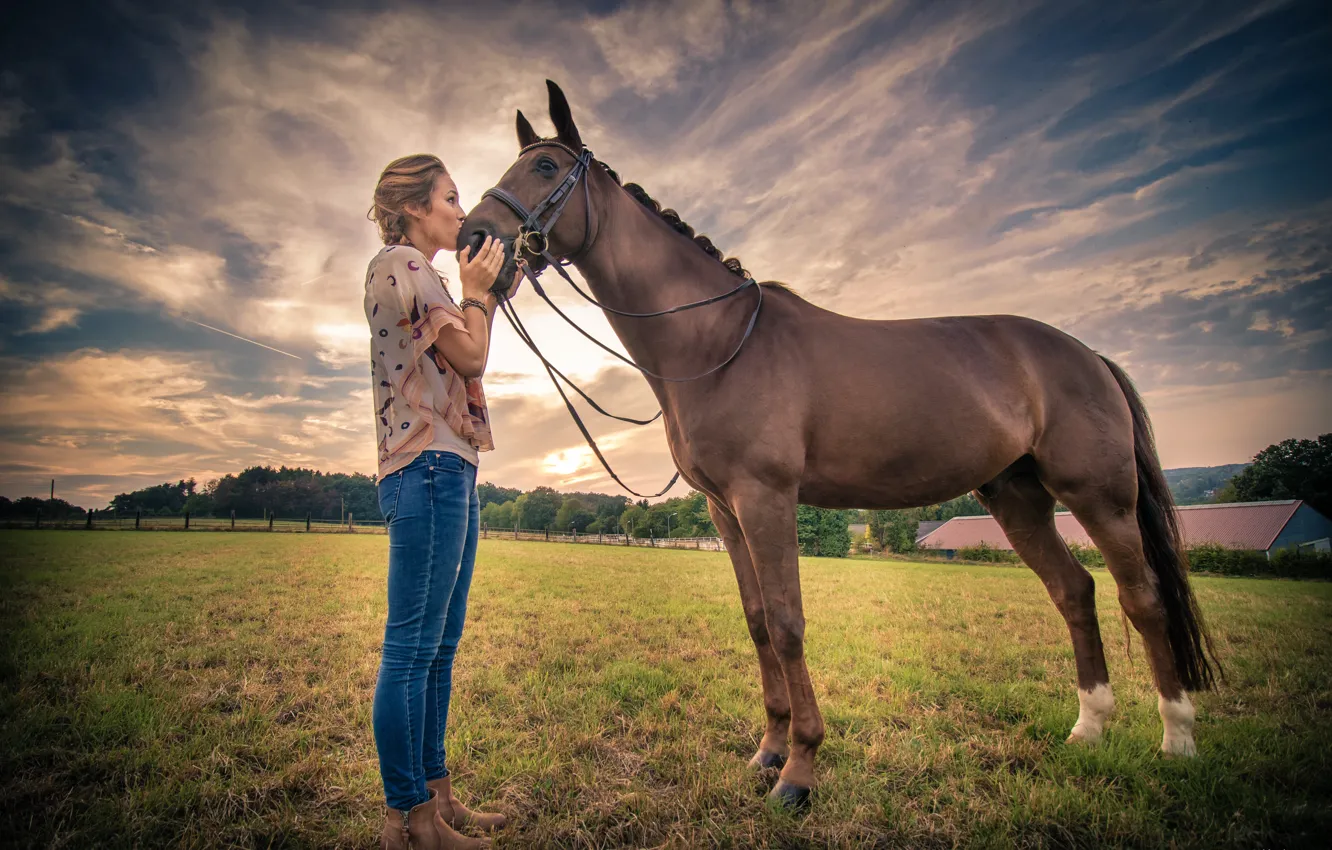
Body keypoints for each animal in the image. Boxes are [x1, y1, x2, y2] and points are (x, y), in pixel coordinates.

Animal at [463, 83, 1220, 810]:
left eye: (546, 167)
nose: (473, 237)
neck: (720, 343)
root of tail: (1087, 354)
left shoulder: (766, 498)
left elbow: (789, 624)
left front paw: (798, 771)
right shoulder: (724, 510)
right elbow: (758, 622)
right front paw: (767, 751)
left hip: (1100, 497)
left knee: (1143, 599)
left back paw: (1177, 741)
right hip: (1018, 499)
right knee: (1075, 591)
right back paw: (1089, 728)